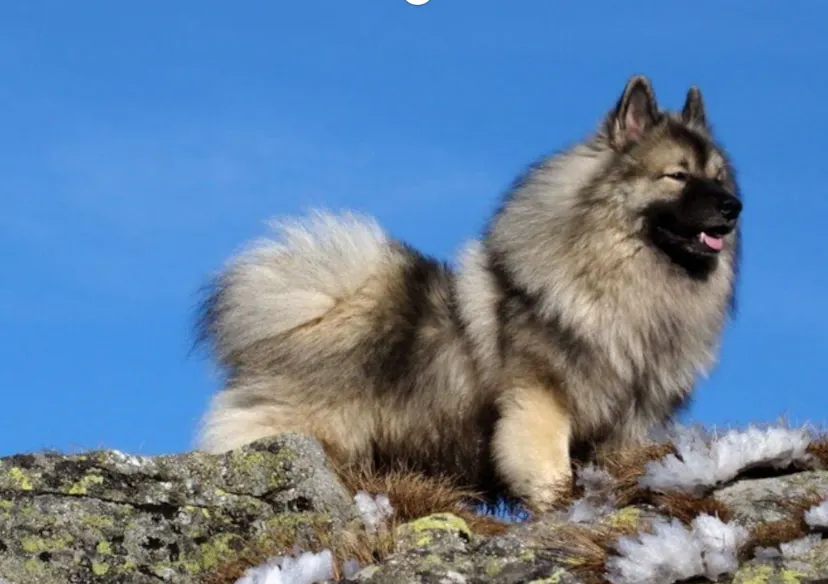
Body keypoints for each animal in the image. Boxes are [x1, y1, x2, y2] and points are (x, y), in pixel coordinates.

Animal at [194, 75, 742, 511]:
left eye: (718, 177)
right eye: (677, 175)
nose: (733, 206)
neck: (614, 275)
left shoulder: (626, 427)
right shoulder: (539, 405)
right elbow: (549, 473)